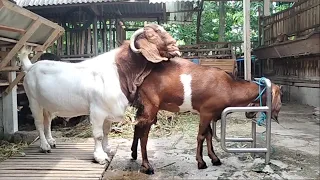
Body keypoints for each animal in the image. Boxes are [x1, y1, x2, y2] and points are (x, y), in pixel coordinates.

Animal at [128, 57, 282, 174]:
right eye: (279, 96)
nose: (250, 114)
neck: (229, 86)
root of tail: (141, 80)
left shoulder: (207, 112)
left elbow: (209, 134)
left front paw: (214, 158)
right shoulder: (206, 112)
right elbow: (201, 136)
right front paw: (201, 162)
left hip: (143, 107)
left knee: (137, 127)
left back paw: (134, 154)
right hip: (150, 106)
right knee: (144, 135)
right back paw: (147, 166)